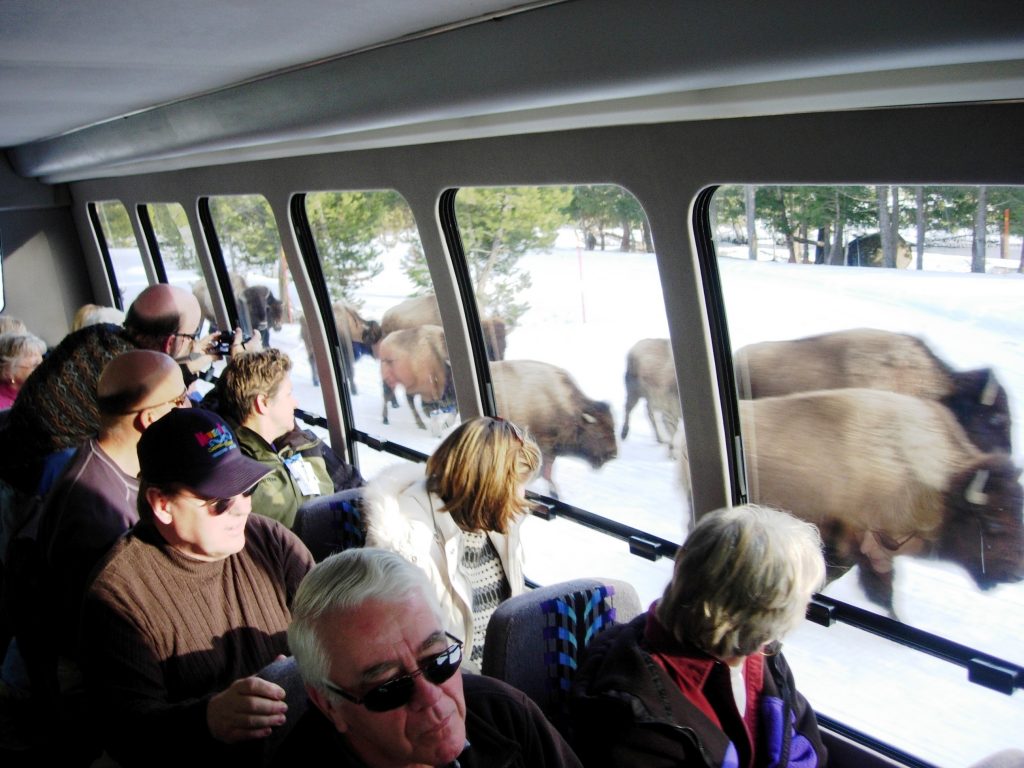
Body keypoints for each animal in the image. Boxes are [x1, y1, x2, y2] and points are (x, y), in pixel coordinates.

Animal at [491, 360, 618, 499]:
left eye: (613, 428)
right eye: (599, 433)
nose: (613, 454)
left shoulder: (550, 450)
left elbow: (545, 471)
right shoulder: (542, 446)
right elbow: (543, 471)